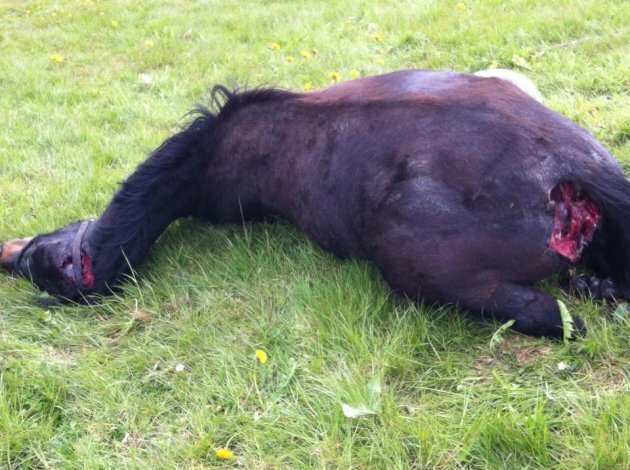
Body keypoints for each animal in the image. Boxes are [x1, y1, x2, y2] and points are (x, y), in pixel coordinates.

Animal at [2, 70, 629, 338]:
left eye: (37, 259)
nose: (6, 250)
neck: (210, 151)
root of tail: (575, 172)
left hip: (415, 264)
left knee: (559, 321)